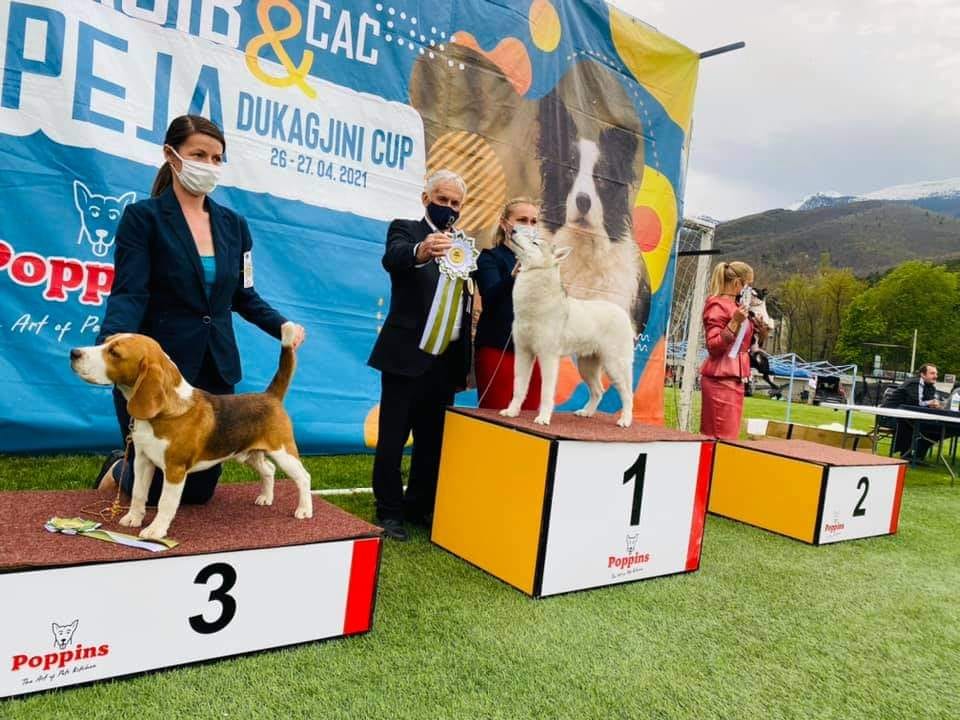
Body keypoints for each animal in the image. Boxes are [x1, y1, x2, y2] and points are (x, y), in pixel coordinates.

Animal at [70, 325, 312, 539]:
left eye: (114, 353)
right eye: (106, 341)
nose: (73, 353)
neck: (163, 412)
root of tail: (270, 396)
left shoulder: (175, 470)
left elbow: (165, 502)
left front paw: (156, 530)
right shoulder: (142, 460)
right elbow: (138, 493)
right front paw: (133, 518)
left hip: (283, 452)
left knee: (303, 477)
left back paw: (304, 510)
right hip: (248, 454)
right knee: (269, 470)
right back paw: (265, 497)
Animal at [500, 228, 635, 427]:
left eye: (535, 242)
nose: (513, 230)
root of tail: (622, 312)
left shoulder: (548, 358)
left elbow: (546, 393)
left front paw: (543, 418)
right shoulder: (523, 353)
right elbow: (519, 387)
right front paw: (512, 411)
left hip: (614, 366)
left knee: (627, 394)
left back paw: (625, 420)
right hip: (586, 367)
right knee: (599, 391)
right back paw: (586, 413)